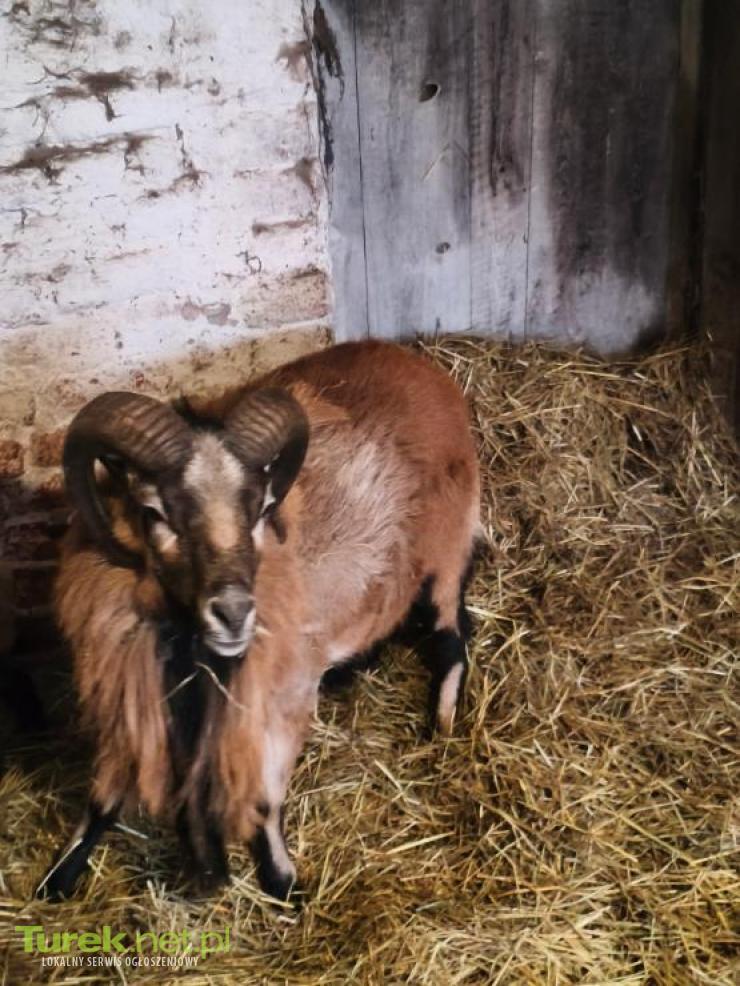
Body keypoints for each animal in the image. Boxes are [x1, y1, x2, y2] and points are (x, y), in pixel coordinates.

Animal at [36, 340, 480, 902]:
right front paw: (56, 880)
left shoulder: (281, 699)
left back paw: (440, 725)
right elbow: (101, 802)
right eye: (153, 512)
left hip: (445, 553)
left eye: (262, 508)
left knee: (452, 639)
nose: (233, 613)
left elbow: (265, 798)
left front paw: (284, 882)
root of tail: (427, 369)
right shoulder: (133, 705)